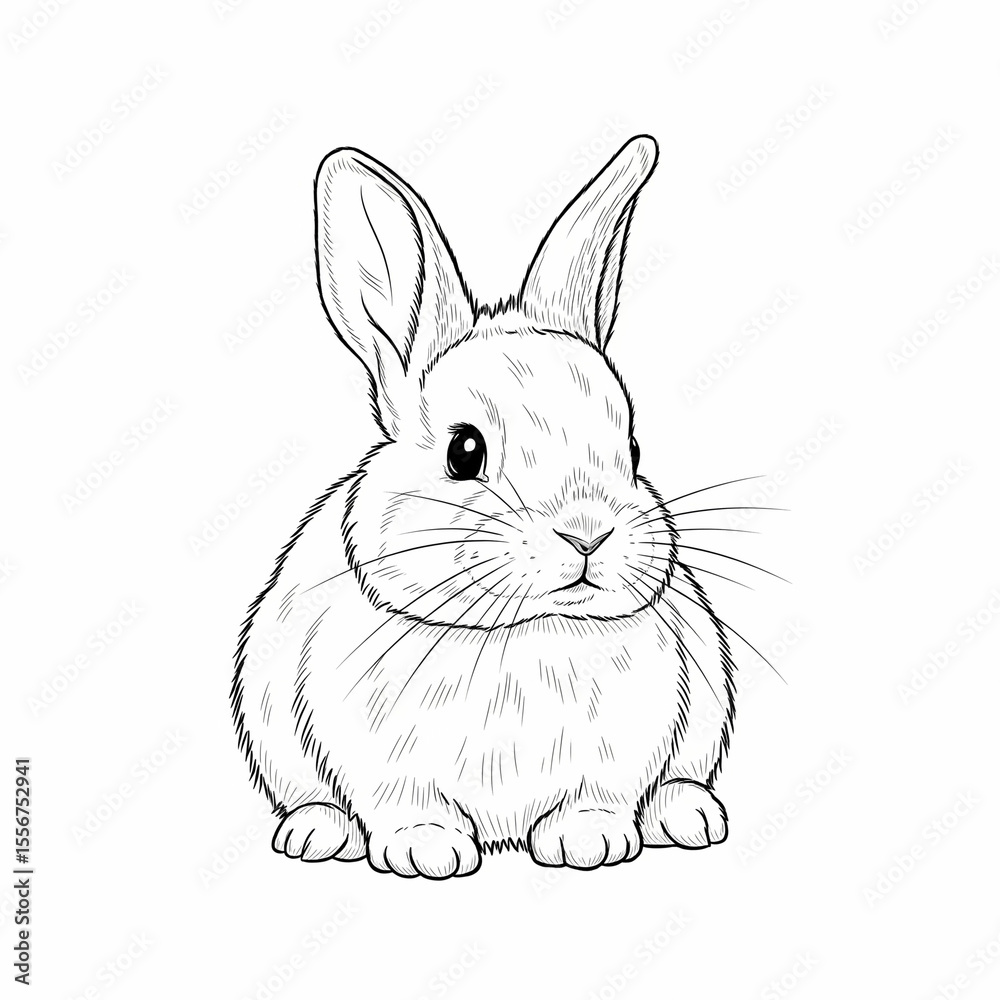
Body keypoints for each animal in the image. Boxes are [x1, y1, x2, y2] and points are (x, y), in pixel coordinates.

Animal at [231, 134, 736, 879]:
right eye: (464, 451)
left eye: (632, 448)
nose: (588, 534)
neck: (520, 631)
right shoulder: (382, 762)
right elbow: (406, 802)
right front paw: (426, 849)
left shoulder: (623, 750)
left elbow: (599, 796)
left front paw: (589, 841)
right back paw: (316, 831)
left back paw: (690, 814)